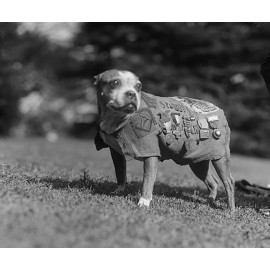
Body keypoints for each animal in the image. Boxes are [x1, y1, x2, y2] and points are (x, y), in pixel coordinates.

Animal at [94, 69, 235, 211]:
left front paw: (144, 201)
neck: (118, 119)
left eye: (138, 86)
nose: (131, 93)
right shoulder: (116, 153)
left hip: (220, 158)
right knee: (213, 182)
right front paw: (119, 191)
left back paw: (230, 209)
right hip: (197, 161)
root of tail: (220, 111)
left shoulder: (150, 154)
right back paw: (210, 201)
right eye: (114, 82)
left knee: (229, 182)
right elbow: (120, 173)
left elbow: (147, 180)